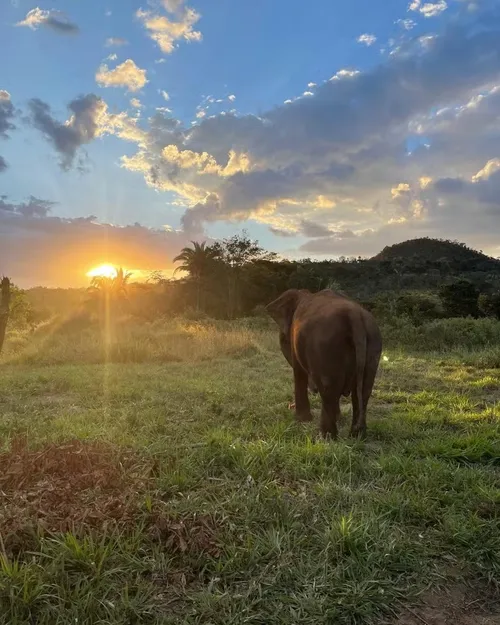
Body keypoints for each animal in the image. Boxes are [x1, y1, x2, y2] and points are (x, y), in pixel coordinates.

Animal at [268, 288, 380, 438]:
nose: (289, 406)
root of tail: (354, 316)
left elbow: (299, 373)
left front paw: (301, 420)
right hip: (373, 341)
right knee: (363, 389)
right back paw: (356, 435)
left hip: (326, 345)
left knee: (328, 387)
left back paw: (325, 437)